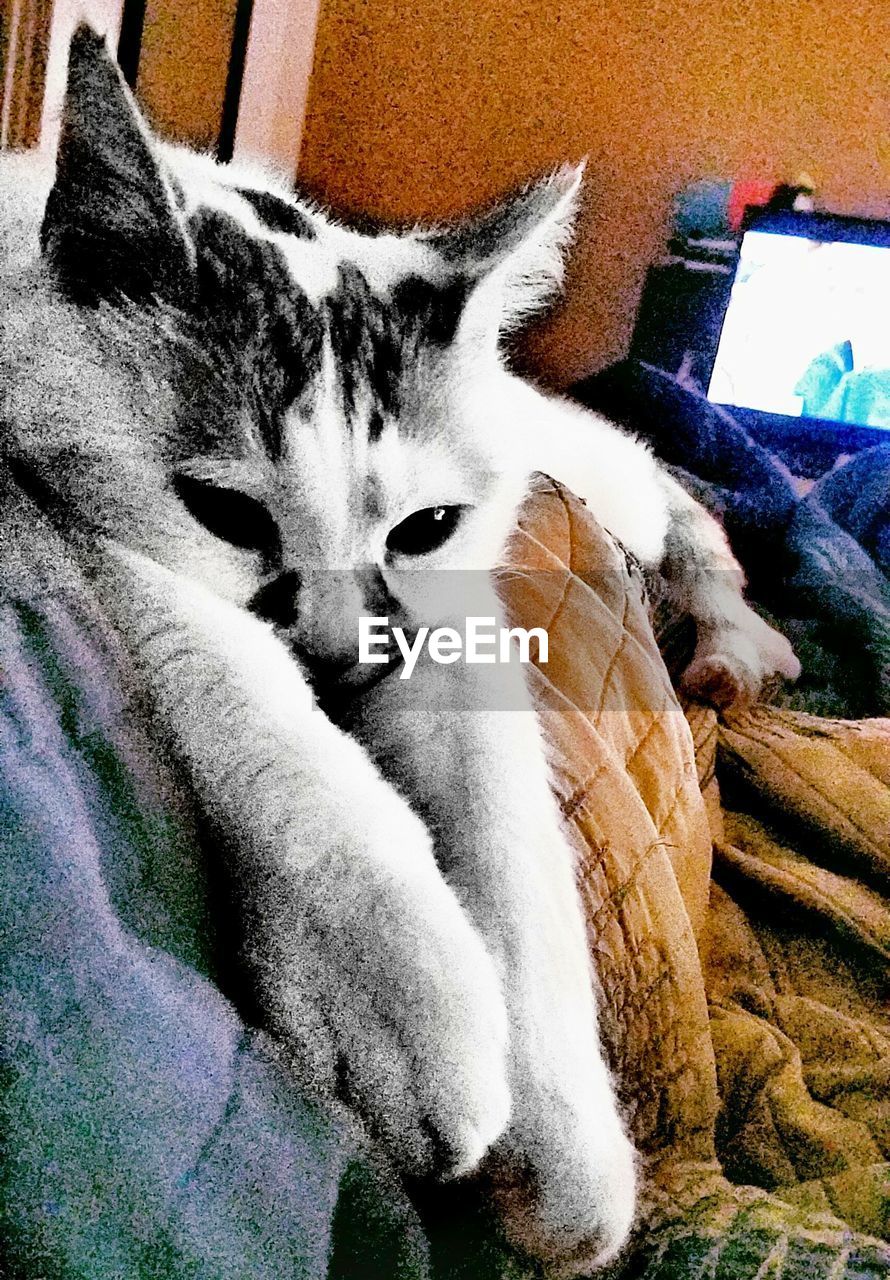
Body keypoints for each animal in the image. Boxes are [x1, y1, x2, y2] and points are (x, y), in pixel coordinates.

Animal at [0, 22, 799, 1280]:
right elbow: (279, 733)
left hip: (573, 459)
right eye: (224, 513)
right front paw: (414, 1026)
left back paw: (734, 641)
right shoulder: (112, 538)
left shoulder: (458, 621)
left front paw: (566, 1141)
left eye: (422, 528)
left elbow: (511, 834)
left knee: (672, 495)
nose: (345, 655)